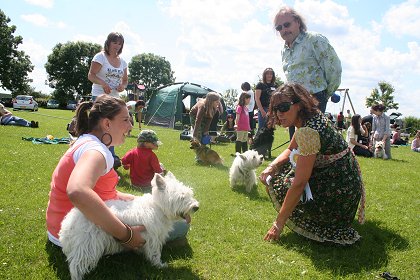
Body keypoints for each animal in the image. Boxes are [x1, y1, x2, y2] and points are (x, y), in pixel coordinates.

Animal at [58, 172, 200, 280]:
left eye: (190, 194)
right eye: (181, 197)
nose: (196, 207)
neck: (158, 207)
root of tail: (69, 221)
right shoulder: (153, 239)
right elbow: (155, 253)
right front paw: (159, 265)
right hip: (87, 245)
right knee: (76, 265)